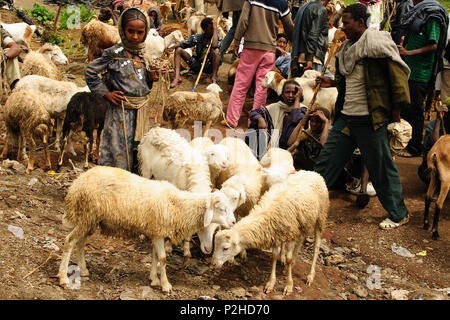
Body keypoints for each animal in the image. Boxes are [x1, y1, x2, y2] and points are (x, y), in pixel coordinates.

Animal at [58, 166, 236, 294]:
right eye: (222, 208)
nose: (234, 222)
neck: (177, 205)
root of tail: (76, 184)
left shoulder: (156, 231)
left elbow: (155, 256)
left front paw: (154, 279)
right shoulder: (158, 232)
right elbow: (162, 258)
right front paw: (165, 285)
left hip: (89, 220)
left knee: (80, 243)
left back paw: (83, 269)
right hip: (86, 215)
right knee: (69, 242)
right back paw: (63, 278)